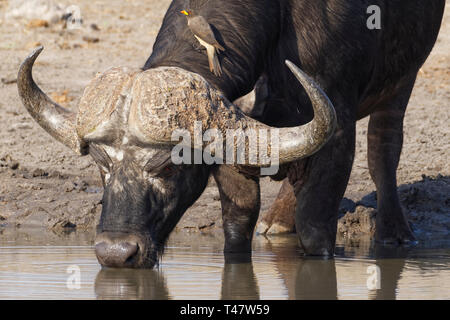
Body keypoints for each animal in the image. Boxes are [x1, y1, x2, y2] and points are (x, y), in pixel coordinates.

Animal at [17, 0, 446, 268]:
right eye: (101, 164)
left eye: (169, 166)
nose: (114, 253)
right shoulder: (233, 145)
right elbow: (237, 224)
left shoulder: (339, 134)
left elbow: (314, 225)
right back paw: (278, 220)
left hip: (403, 81)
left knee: (384, 149)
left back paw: (395, 232)